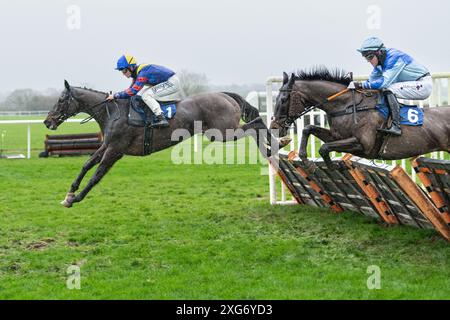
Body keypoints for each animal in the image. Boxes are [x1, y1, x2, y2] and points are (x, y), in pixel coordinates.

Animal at [44, 80, 274, 208]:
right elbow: (86, 165)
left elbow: (96, 175)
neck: (113, 112)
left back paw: (273, 143)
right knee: (254, 126)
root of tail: (224, 95)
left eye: (61, 100)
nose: (48, 121)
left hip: (222, 132)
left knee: (255, 124)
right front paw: (69, 194)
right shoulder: (106, 146)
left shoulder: (116, 150)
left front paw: (76, 198)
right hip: (219, 133)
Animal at [270, 68, 450, 170]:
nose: (274, 126)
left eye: (283, 99)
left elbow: (324, 148)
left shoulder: (364, 145)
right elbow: (309, 129)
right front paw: (307, 161)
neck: (347, 106)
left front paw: (335, 166)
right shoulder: (336, 136)